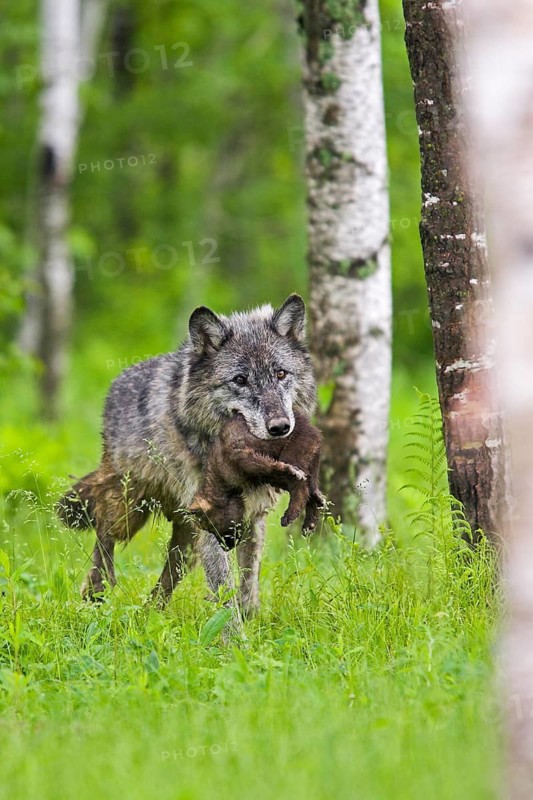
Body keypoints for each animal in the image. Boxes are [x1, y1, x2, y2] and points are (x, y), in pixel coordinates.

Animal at [189, 410, 324, 550]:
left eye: (210, 527)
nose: (226, 548)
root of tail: (311, 426)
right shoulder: (261, 476)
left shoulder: (243, 457)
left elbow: (277, 469)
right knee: (311, 488)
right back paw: (311, 519)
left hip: (295, 449)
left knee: (300, 484)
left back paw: (291, 515)